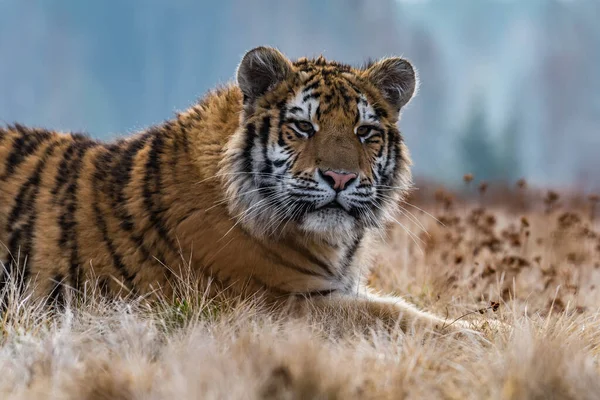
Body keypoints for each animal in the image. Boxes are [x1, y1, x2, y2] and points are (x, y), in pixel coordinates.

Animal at [0, 47, 478, 332]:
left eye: (365, 132)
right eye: (304, 127)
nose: (340, 178)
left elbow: (402, 308)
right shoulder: (282, 303)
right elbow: (396, 316)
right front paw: (481, 336)